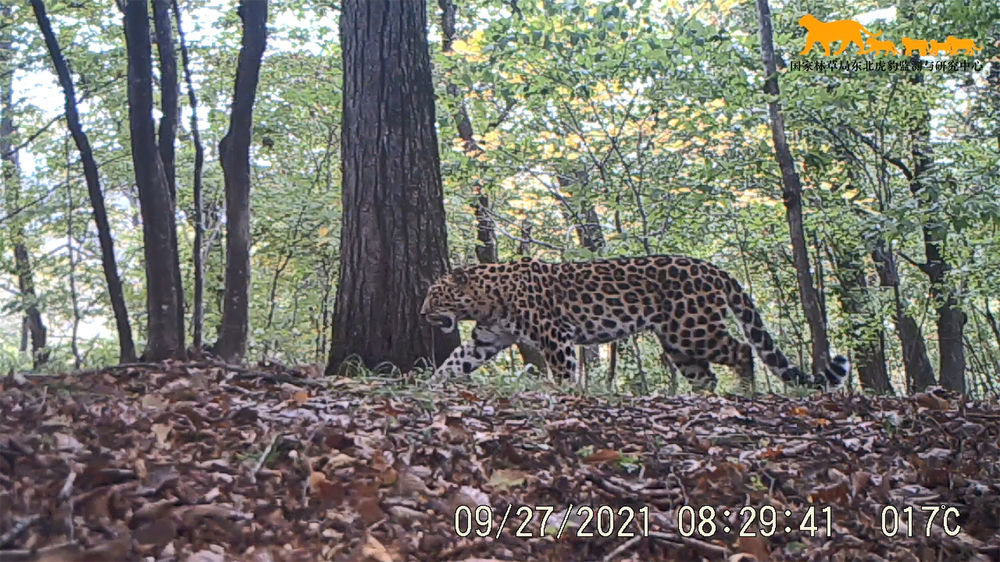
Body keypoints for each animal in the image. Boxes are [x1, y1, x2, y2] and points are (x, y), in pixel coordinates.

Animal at [418, 254, 848, 390]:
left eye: (435, 295)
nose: (421, 313)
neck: (488, 300)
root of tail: (715, 269)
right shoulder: (487, 339)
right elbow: (455, 361)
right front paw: (429, 384)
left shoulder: (555, 335)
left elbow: (564, 371)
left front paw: (566, 394)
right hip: (677, 342)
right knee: (705, 376)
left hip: (692, 328)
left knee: (743, 350)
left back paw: (744, 393)